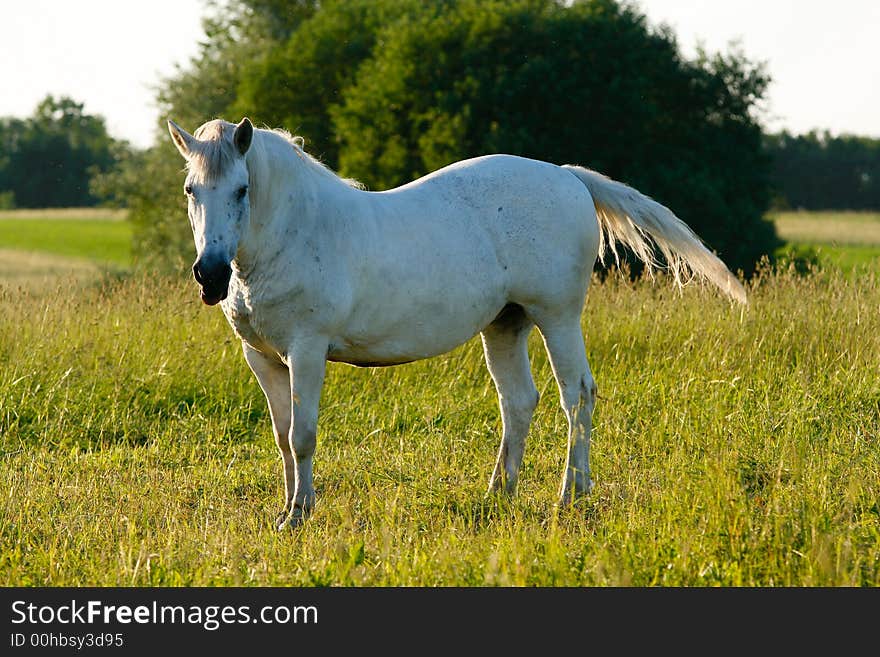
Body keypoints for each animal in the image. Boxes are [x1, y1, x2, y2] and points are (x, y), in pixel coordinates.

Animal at [168, 116, 744, 528]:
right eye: (192, 190)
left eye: (242, 190)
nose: (210, 275)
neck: (295, 231)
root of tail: (567, 176)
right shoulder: (264, 358)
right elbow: (283, 436)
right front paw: (286, 511)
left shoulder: (307, 351)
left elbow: (304, 435)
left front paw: (301, 516)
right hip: (505, 324)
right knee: (519, 401)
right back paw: (499, 494)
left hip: (557, 317)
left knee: (577, 395)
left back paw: (571, 495)